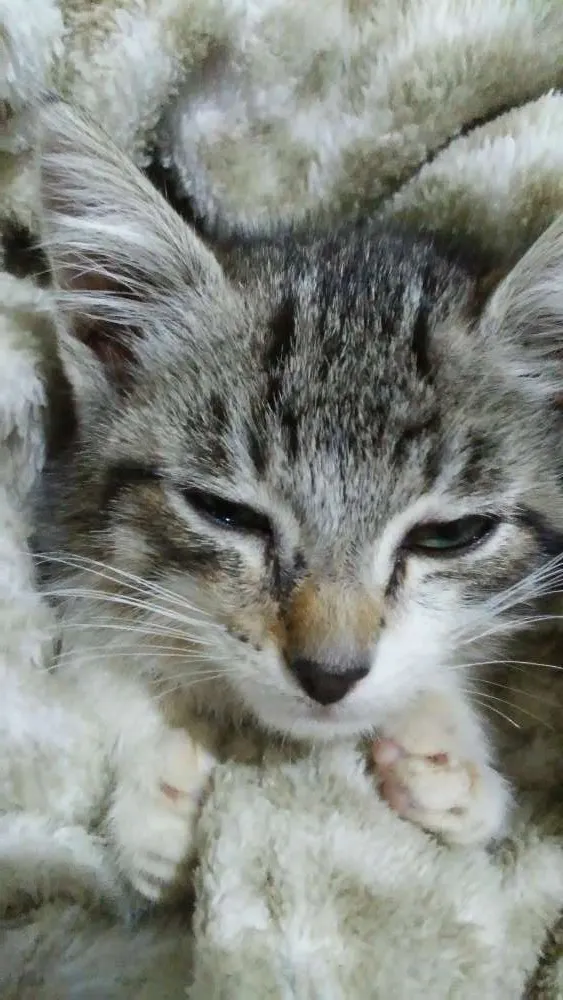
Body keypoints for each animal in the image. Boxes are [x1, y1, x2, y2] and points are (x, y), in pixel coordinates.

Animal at [14, 99, 563, 900]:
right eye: (226, 514)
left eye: (450, 535)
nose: (329, 674)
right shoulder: (66, 535)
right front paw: (157, 789)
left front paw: (445, 750)